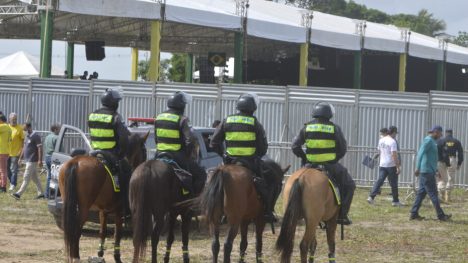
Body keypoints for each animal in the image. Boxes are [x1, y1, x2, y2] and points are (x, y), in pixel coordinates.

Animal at [59, 133, 148, 262]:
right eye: (144, 151)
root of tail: (75, 162)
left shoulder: (103, 211)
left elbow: (103, 231)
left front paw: (100, 253)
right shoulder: (119, 211)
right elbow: (117, 233)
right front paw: (117, 257)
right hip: (84, 209)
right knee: (76, 230)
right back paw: (76, 256)